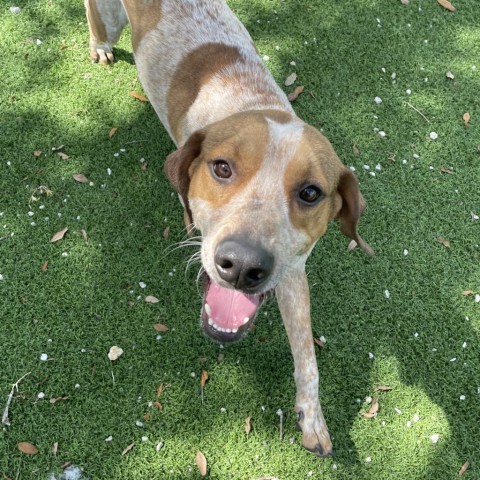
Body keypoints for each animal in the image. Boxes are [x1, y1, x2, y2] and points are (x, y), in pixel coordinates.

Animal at [84, 0, 373, 456]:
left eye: (311, 193)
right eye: (221, 167)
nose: (241, 266)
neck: (250, 98)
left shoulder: (292, 272)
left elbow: (307, 358)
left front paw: (312, 417)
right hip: (111, 22)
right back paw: (99, 47)